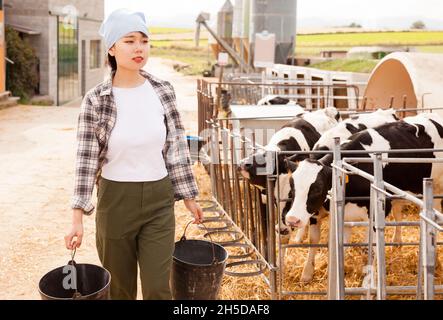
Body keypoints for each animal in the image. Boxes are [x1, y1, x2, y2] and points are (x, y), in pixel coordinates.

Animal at [284, 113, 443, 282]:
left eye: (318, 188)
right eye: (292, 186)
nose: (292, 219)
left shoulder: (375, 213)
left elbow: (372, 244)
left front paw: (370, 278)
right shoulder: (326, 212)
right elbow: (317, 241)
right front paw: (309, 273)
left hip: (436, 189)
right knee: (399, 213)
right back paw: (397, 242)